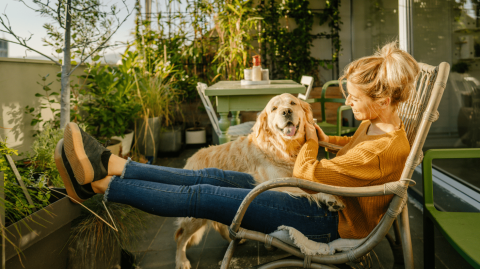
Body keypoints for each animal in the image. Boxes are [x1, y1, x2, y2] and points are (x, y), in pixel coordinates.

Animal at [174, 92, 344, 268]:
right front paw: (330, 197)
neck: (283, 148)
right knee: (180, 236)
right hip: (194, 218)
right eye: (274, 108)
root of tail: (190, 158)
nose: (286, 112)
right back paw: (182, 261)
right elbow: (311, 188)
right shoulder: (275, 183)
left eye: (293, 103)